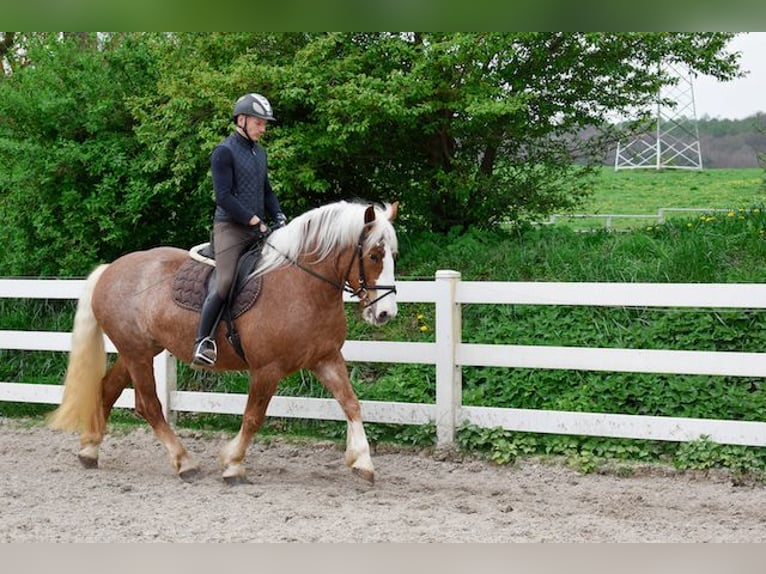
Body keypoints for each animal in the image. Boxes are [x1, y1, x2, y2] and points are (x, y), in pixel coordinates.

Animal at [46, 201, 402, 486]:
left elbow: (351, 403)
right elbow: (253, 417)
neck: (301, 286)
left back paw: (89, 450)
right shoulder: (266, 369)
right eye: (374, 255)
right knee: (149, 405)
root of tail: (111, 268)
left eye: (392, 256)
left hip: (140, 351)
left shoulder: (325, 358)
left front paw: (363, 462)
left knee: (108, 389)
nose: (385, 313)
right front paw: (233, 465)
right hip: (136, 352)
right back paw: (184, 462)